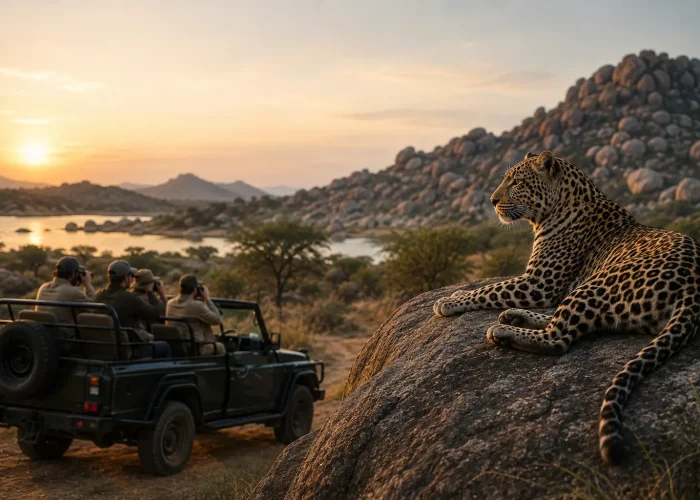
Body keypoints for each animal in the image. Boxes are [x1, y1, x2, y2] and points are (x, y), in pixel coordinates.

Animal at [433, 150, 700, 465]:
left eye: (517, 182)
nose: (492, 200)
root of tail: (694, 288)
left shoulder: (539, 283)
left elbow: (490, 289)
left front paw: (450, 299)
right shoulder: (538, 283)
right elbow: (495, 289)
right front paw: (456, 296)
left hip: (598, 282)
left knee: (558, 338)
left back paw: (503, 332)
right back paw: (513, 317)